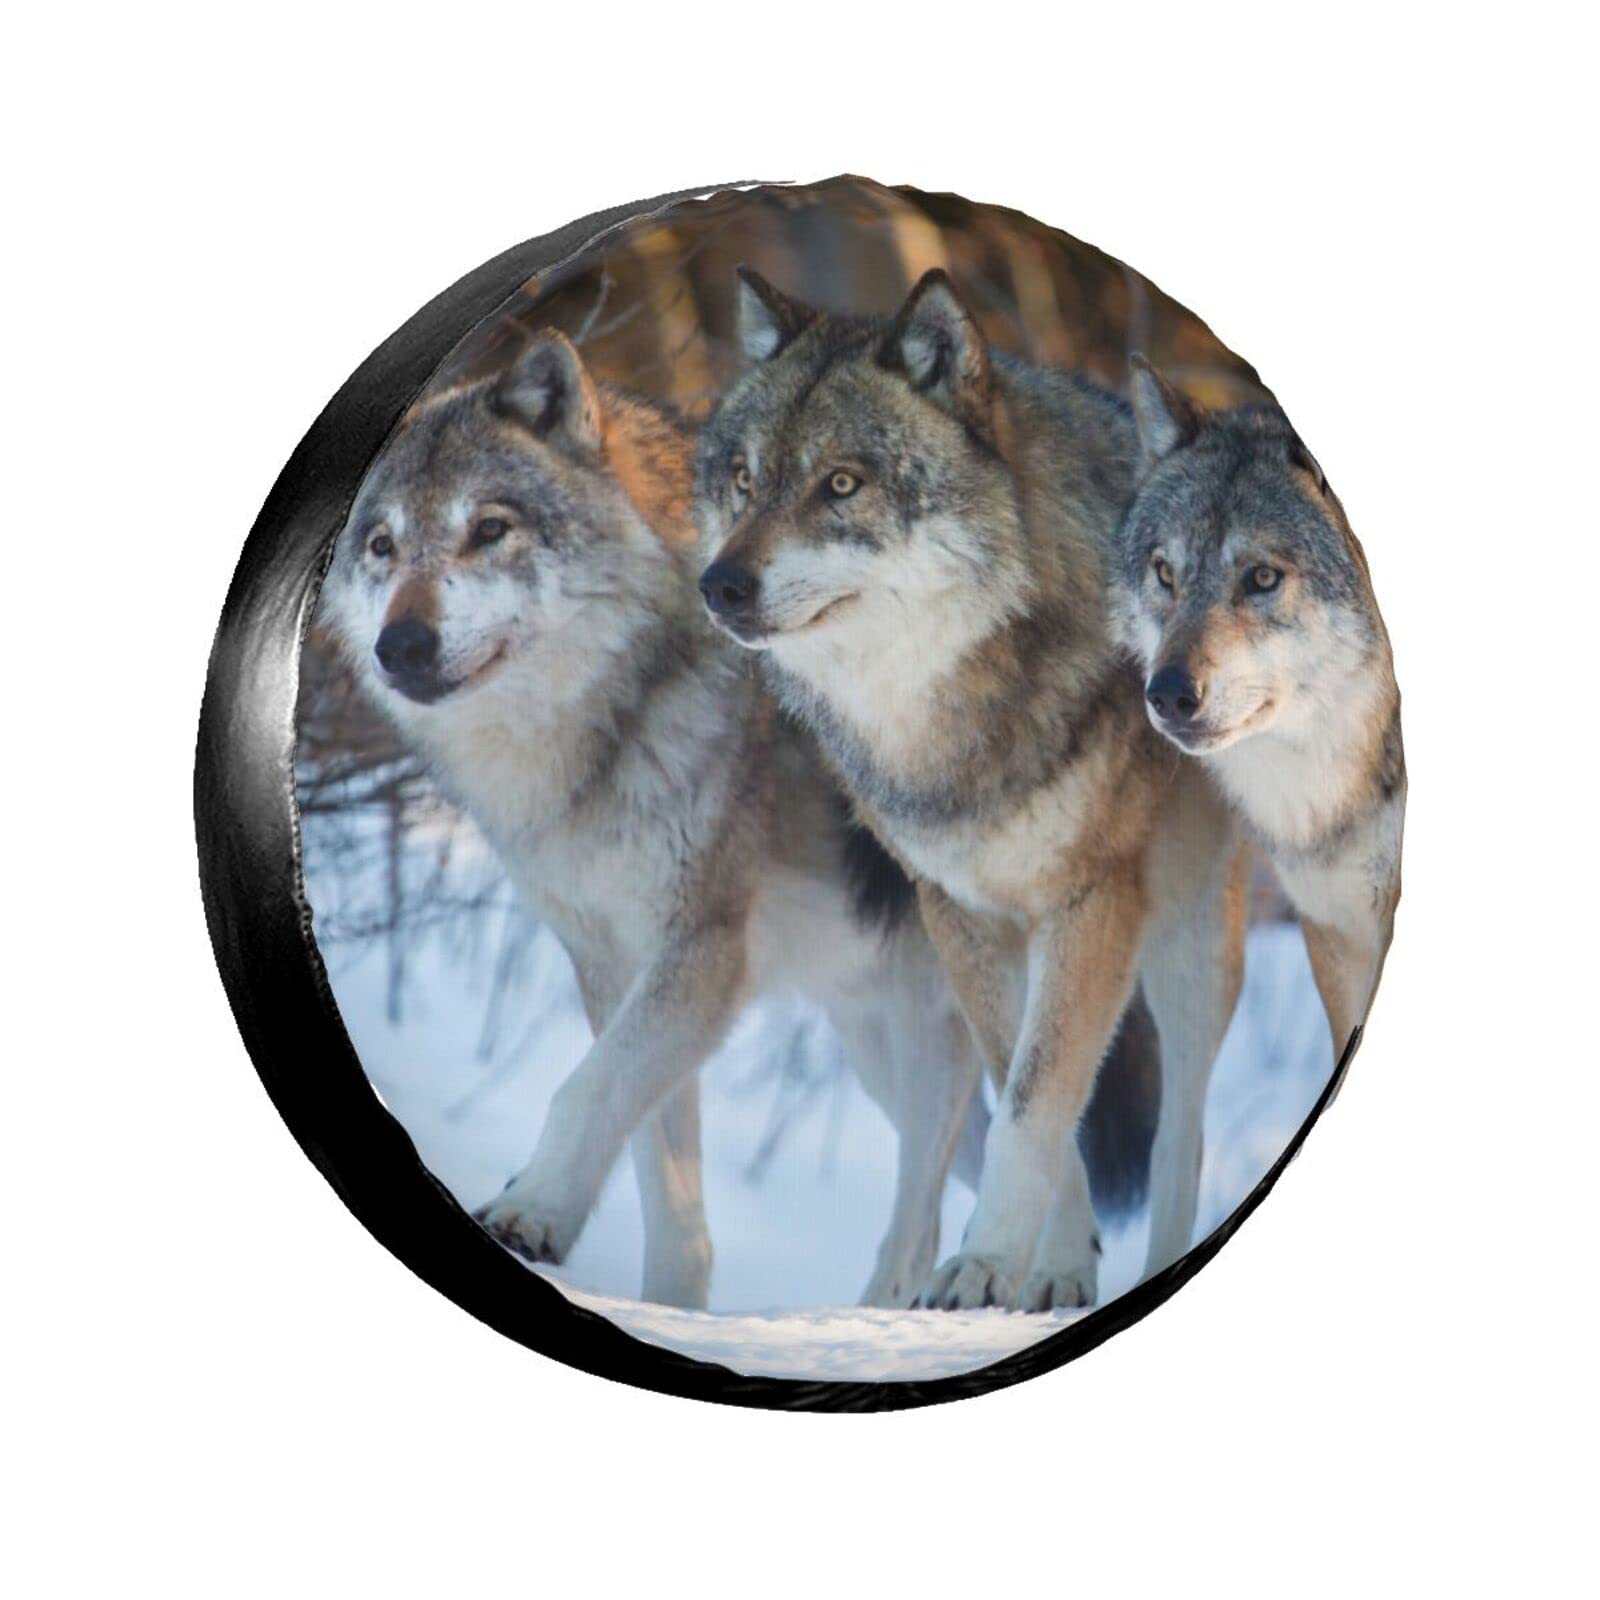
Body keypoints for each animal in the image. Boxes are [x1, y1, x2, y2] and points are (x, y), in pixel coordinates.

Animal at [317, 329, 990, 1309]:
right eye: (381, 544)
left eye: (489, 530)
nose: (399, 646)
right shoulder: (613, 963)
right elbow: (660, 1177)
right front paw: (669, 1309)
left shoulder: (700, 952)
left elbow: (584, 1093)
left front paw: (529, 1211)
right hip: (878, 1044)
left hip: (937, 1024)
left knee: (928, 1217)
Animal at [696, 268, 1243, 1308]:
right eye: (743, 481)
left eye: (841, 484)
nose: (719, 586)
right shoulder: (960, 911)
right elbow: (1026, 1085)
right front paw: (1034, 1268)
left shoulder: (1092, 903)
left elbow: (1037, 1099)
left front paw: (988, 1260)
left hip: (1191, 944)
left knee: (1185, 1136)